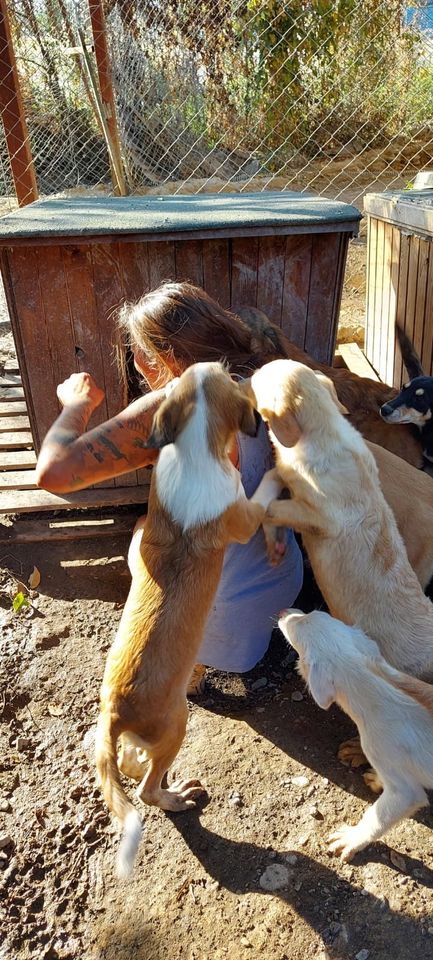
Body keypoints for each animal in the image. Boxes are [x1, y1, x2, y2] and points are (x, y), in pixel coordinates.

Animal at [93, 362, 280, 876]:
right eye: (229, 375)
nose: (241, 369)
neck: (195, 449)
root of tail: (114, 712)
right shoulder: (244, 514)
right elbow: (264, 496)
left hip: (144, 737)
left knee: (132, 765)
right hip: (176, 724)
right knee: (145, 791)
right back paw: (177, 796)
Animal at [276, 612, 432, 868]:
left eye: (295, 625)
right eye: (312, 613)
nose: (282, 612)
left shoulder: (405, 793)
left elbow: (377, 817)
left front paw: (350, 839)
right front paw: (375, 779)